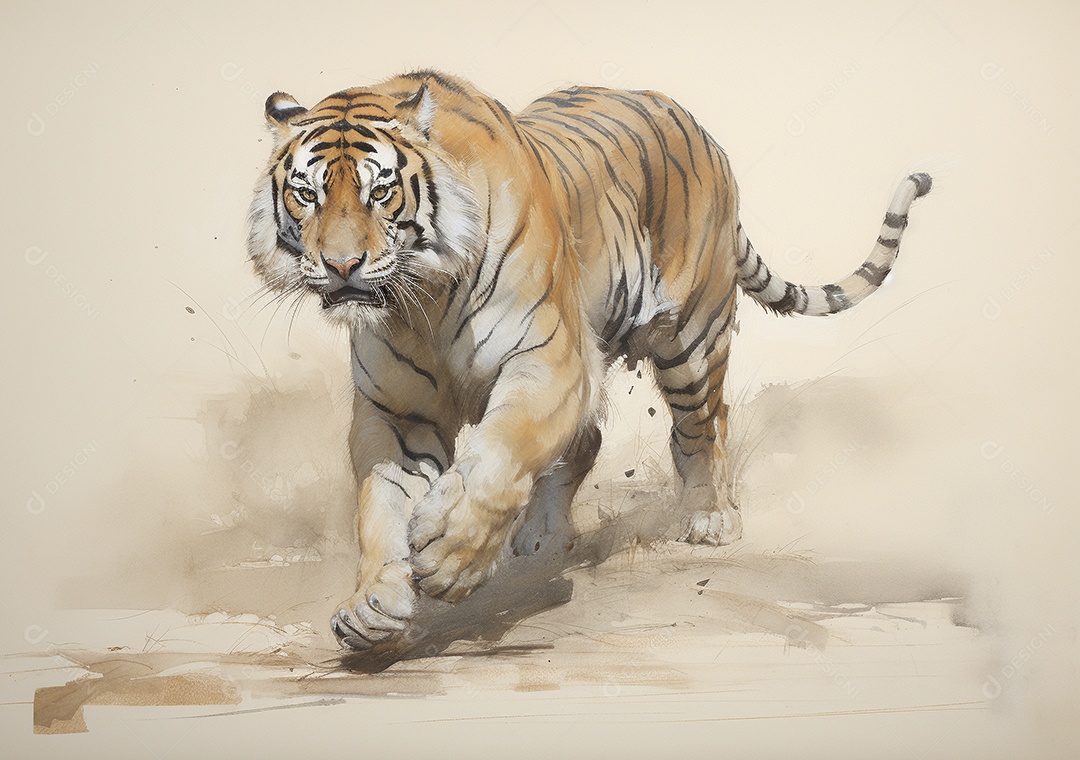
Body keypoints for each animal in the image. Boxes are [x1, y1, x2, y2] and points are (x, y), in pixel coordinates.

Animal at [247, 70, 931, 651]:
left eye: (381, 192)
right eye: (306, 194)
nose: (341, 265)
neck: (423, 298)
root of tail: (699, 128)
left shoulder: (548, 363)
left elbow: (499, 456)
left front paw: (450, 556)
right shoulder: (396, 412)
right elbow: (380, 506)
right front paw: (376, 607)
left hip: (692, 337)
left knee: (703, 426)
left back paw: (709, 517)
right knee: (591, 439)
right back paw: (543, 535)